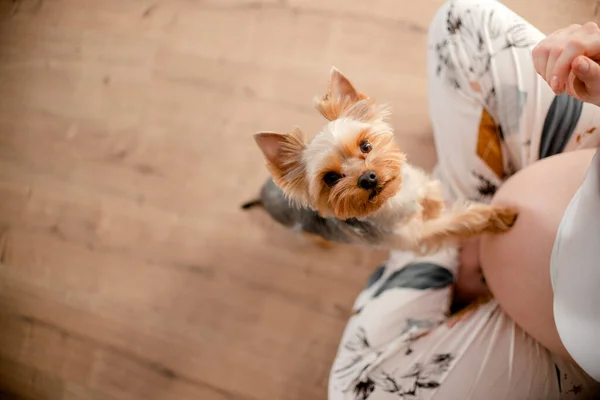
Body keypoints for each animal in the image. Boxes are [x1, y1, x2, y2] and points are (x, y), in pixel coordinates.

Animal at [246, 67, 516, 252]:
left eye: (366, 145)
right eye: (330, 178)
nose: (367, 178)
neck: (392, 200)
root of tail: (262, 194)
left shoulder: (417, 182)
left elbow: (431, 196)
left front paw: (433, 207)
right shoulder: (415, 237)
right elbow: (456, 223)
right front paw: (499, 216)